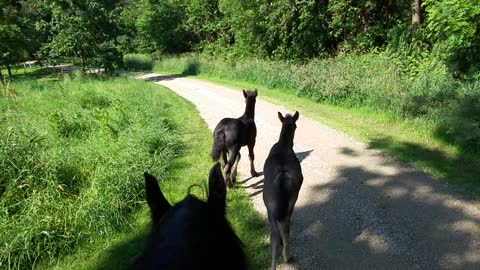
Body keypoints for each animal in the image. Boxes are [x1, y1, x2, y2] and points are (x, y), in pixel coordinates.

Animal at [262, 111, 304, 270]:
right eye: (296, 125)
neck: (284, 144)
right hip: (289, 203)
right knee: (285, 227)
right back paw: (286, 256)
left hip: (272, 206)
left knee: (276, 234)